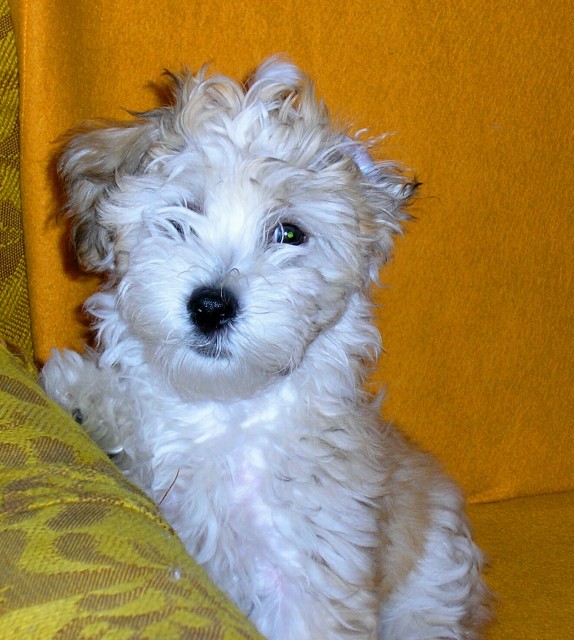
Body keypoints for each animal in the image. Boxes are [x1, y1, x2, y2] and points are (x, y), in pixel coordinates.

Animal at [41, 57, 490, 639]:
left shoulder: (309, 567)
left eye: (289, 233)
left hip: (432, 585)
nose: (211, 306)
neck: (223, 409)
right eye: (182, 212)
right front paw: (87, 398)